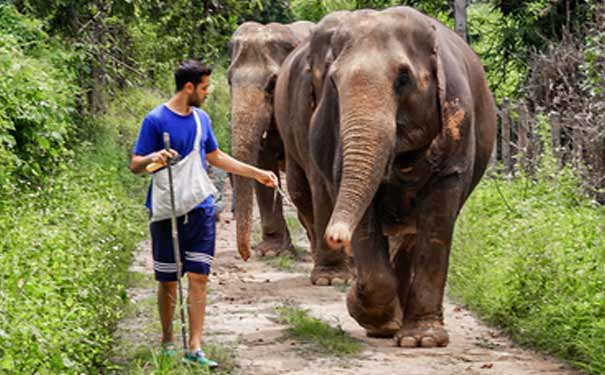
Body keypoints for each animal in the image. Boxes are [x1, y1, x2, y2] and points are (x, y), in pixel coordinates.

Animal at [274, 7, 496, 350]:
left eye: (403, 78)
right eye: (334, 81)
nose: (334, 236)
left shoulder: (458, 129)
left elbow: (437, 219)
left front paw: (422, 340)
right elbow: (363, 218)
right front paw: (364, 309)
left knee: (412, 234)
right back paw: (387, 325)